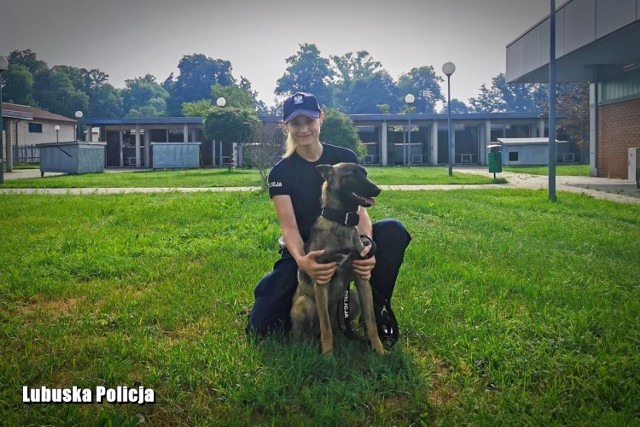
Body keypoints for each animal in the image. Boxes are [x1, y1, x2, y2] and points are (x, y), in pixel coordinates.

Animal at [290, 162, 384, 356]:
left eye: (365, 174)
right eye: (351, 175)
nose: (378, 190)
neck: (342, 222)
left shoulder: (362, 279)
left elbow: (371, 321)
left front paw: (379, 349)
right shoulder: (322, 281)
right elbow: (325, 328)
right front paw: (328, 355)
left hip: (353, 299)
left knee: (334, 327)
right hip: (305, 303)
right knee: (310, 332)